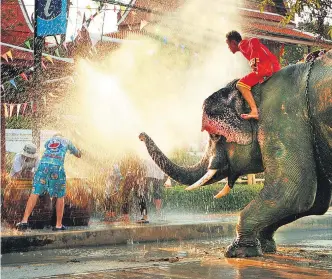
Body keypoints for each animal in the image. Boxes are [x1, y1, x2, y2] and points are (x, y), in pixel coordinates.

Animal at [138, 50, 332, 258]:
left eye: (215, 136)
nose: (140, 135)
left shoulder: (283, 118)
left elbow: (292, 192)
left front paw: (237, 252)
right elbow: (316, 200)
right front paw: (264, 246)